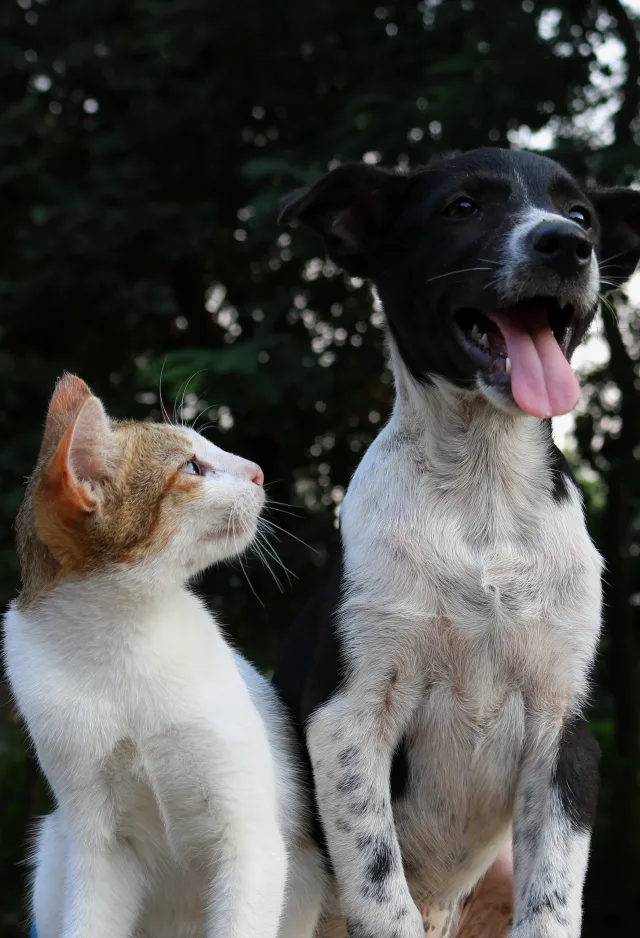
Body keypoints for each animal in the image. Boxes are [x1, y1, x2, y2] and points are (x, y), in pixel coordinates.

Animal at [2, 372, 324, 936]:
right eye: (191, 467)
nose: (258, 471)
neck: (123, 640)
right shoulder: (99, 845)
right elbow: (90, 921)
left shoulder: (250, 839)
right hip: (55, 848)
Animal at [274, 148, 640, 936]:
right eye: (463, 207)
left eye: (582, 215)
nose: (565, 245)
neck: (484, 497)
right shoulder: (349, 720)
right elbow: (382, 893)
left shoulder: (564, 735)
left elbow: (551, 905)